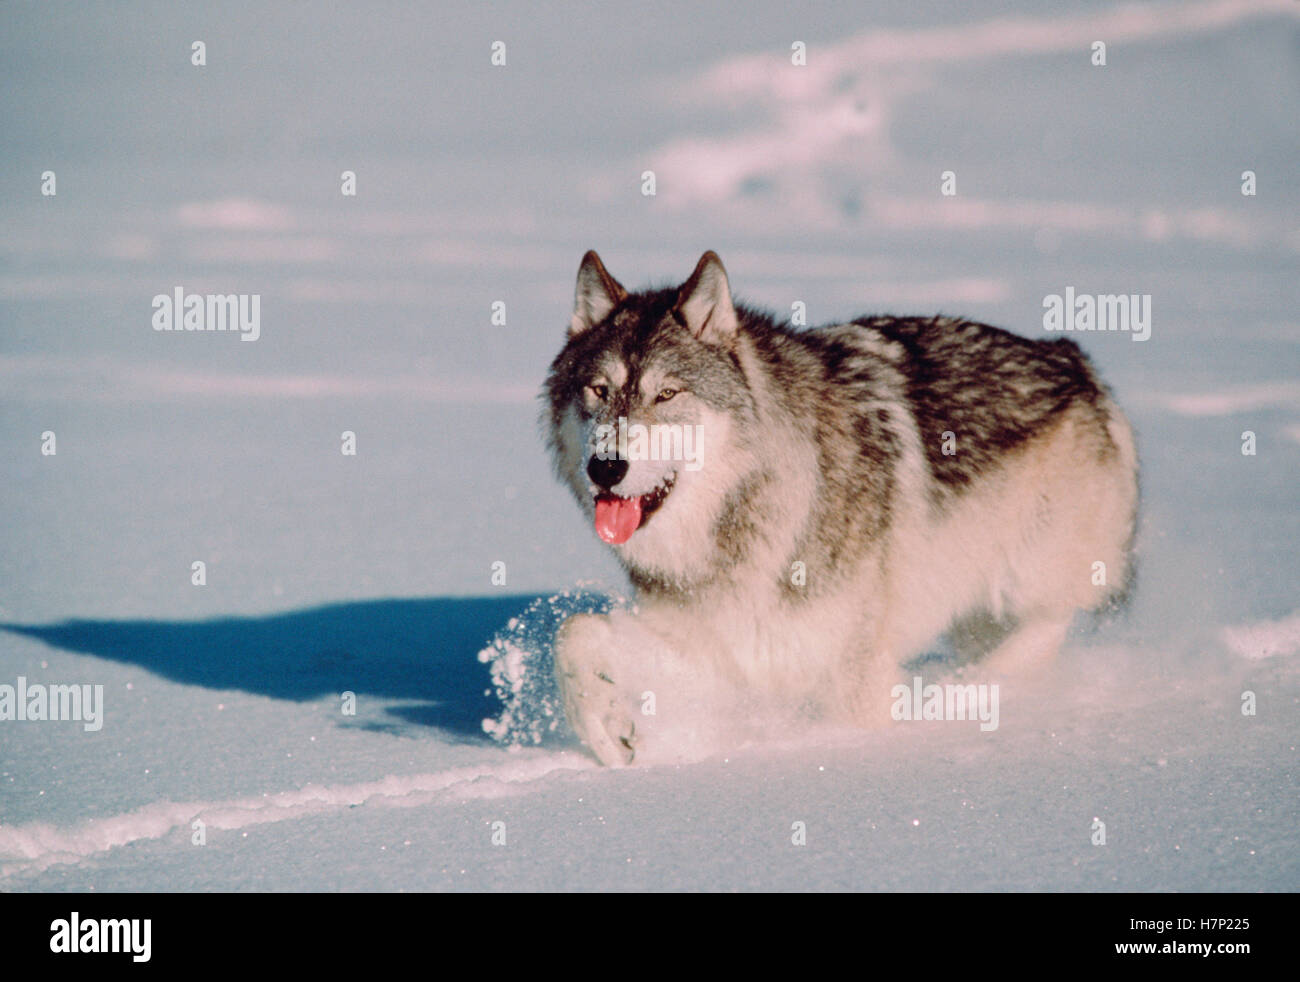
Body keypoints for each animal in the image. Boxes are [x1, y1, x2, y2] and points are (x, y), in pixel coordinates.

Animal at [543, 250, 1138, 766]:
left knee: (1046, 627)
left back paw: (963, 691)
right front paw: (606, 732)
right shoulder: (718, 650)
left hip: (1026, 579)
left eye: (667, 394)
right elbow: (574, 631)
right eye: (598, 390)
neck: (748, 517)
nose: (605, 468)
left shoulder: (850, 679)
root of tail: (1072, 356)